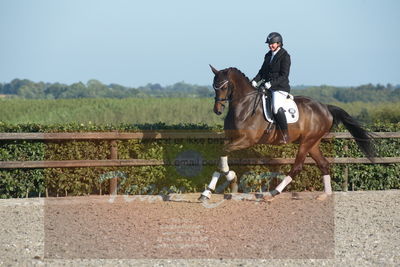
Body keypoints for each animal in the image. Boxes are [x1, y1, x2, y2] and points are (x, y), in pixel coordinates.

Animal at [200, 66, 376, 202]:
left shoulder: (246, 140)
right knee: (323, 164)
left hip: (306, 142)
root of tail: (325, 108)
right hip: (313, 143)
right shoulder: (231, 138)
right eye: (214, 86)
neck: (244, 105)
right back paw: (325, 195)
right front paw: (208, 191)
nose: (217, 110)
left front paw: (230, 177)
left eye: (223, 87)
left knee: (297, 167)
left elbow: (222, 152)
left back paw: (272, 193)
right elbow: (220, 156)